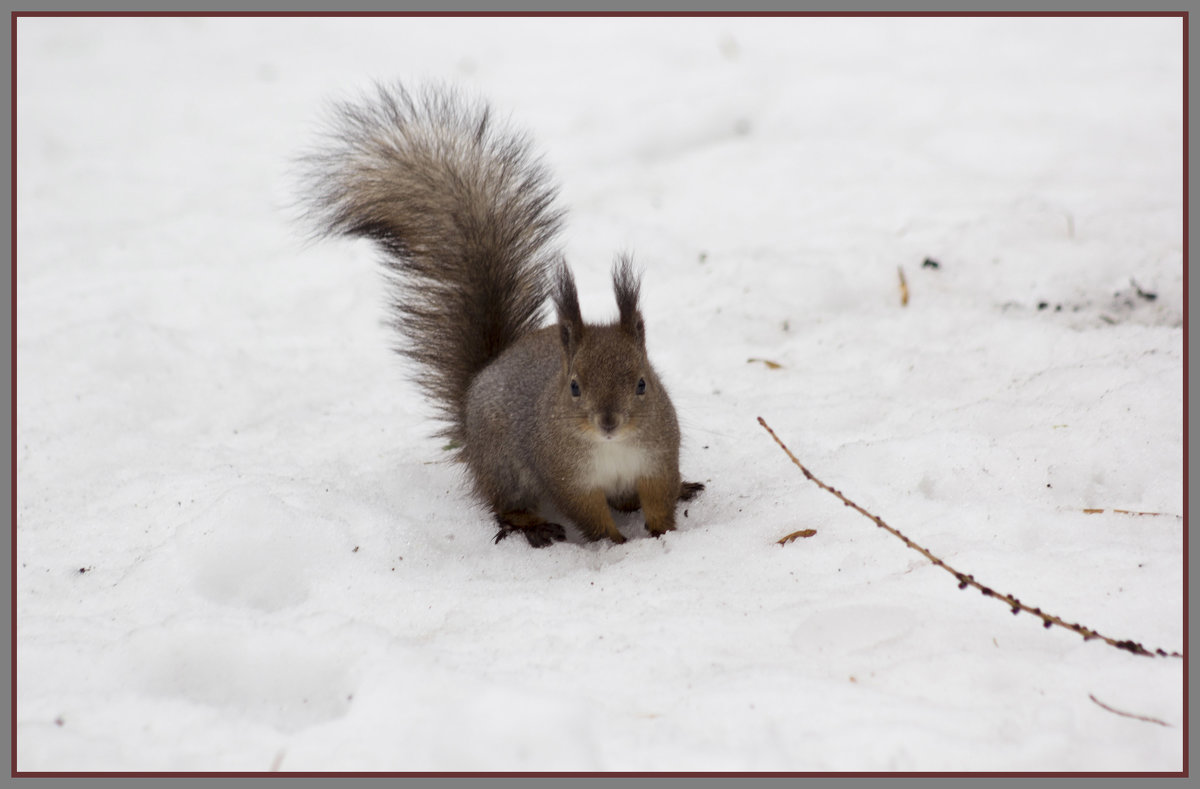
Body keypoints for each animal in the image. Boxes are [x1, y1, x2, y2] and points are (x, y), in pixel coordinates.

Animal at [298, 82, 700, 544]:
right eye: (574, 387)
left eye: (642, 383)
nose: (608, 422)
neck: (612, 449)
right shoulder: (566, 478)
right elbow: (589, 515)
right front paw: (615, 544)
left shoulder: (656, 460)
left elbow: (657, 497)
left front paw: (664, 532)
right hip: (503, 468)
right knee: (504, 505)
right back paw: (533, 526)